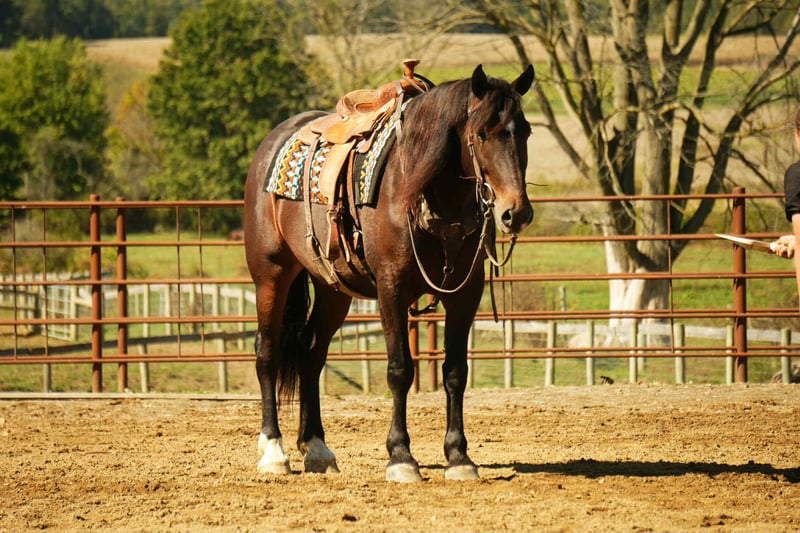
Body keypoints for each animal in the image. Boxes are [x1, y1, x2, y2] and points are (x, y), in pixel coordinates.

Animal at [243, 63, 535, 482]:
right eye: (482, 133)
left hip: (333, 290)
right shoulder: (391, 289)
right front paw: (400, 457)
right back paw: (273, 451)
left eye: (525, 130)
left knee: (311, 355)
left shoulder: (465, 295)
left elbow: (455, 372)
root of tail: (274, 139)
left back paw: (317, 448)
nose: (516, 212)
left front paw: (459, 457)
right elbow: (400, 370)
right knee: (267, 352)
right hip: (272, 274)